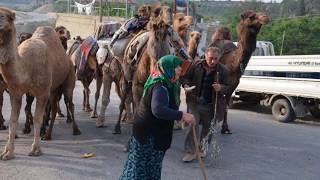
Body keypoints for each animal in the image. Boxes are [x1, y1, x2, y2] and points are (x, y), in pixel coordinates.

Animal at [0, 7, 79, 160]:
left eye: (4, 16)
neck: (26, 65)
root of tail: (68, 59)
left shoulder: (42, 92)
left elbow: (38, 118)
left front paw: (36, 149)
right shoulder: (15, 92)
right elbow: (13, 120)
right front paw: (7, 152)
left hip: (69, 78)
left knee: (69, 102)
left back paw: (75, 130)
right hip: (53, 89)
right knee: (54, 108)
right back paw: (47, 135)